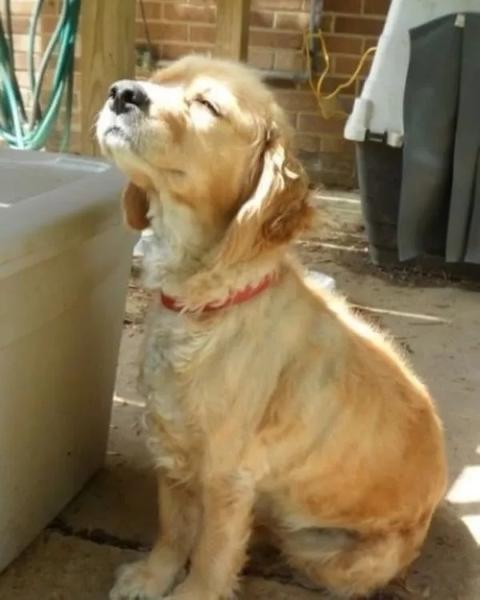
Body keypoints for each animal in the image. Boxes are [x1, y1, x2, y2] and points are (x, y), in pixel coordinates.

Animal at [96, 55, 447, 600]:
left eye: (207, 104)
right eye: (160, 79)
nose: (122, 93)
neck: (206, 299)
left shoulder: (225, 471)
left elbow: (211, 554)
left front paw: (193, 591)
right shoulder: (171, 444)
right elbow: (174, 526)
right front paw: (152, 577)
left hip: (327, 553)